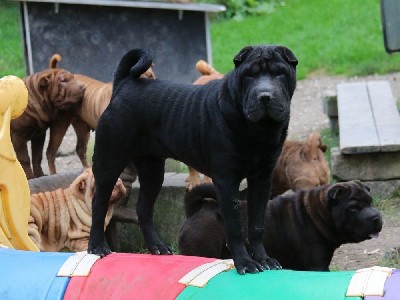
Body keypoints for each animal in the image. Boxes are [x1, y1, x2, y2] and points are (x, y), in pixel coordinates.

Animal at [178, 180, 382, 272]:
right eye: (353, 208)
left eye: (370, 201)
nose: (376, 217)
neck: (317, 212)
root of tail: (197, 211)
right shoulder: (317, 265)